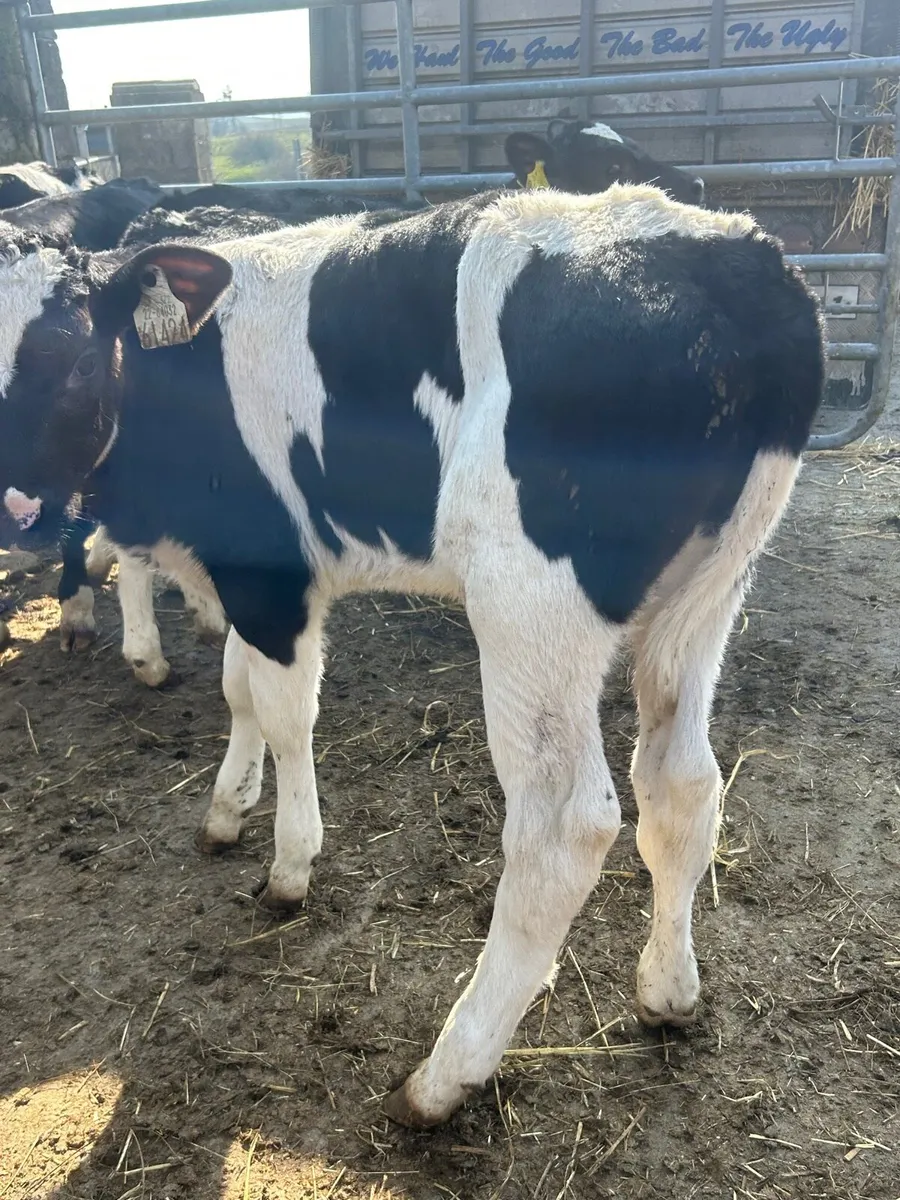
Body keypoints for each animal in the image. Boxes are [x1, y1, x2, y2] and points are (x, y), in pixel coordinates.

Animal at [0, 187, 823, 1126]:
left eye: (71, 358)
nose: (17, 510)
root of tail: (726, 251)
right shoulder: (245, 572)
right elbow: (238, 689)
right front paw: (225, 810)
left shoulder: (272, 573)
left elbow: (284, 713)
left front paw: (289, 864)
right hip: (709, 591)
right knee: (681, 786)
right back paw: (667, 992)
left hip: (526, 599)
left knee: (564, 827)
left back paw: (445, 1073)